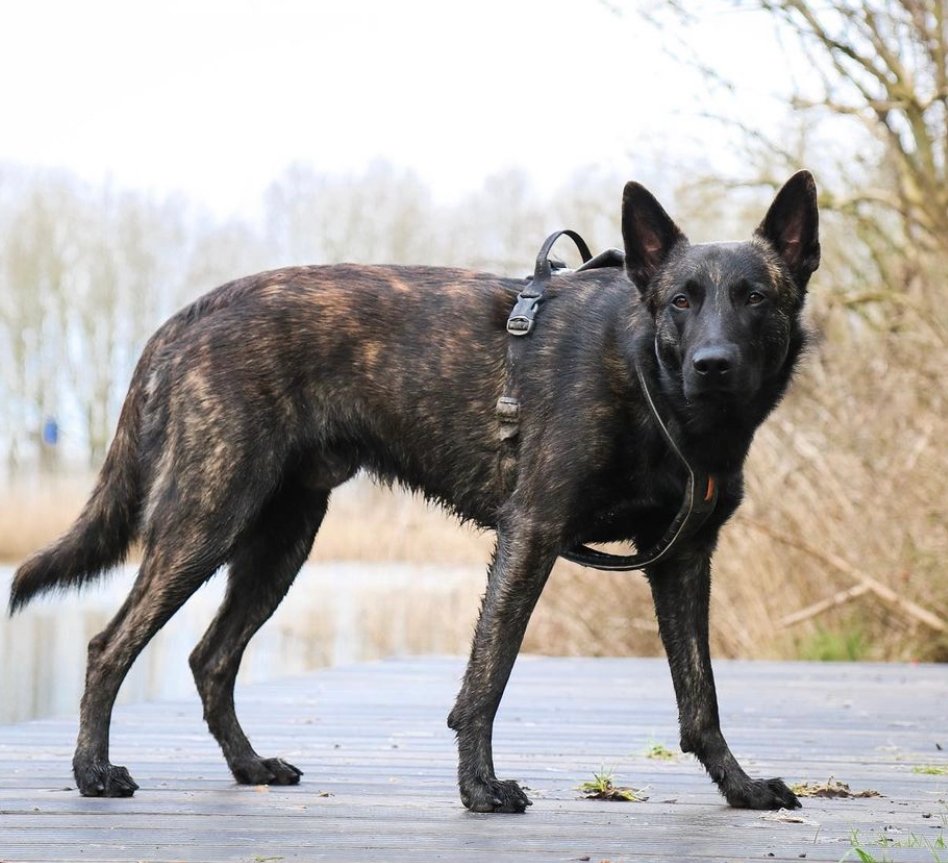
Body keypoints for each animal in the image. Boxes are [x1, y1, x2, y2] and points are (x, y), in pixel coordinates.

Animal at [11, 170, 820, 808]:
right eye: (682, 299)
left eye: (754, 297)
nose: (713, 364)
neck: (649, 377)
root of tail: (188, 316)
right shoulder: (531, 534)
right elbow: (487, 678)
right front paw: (480, 788)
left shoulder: (681, 561)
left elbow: (701, 698)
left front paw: (740, 787)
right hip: (205, 521)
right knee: (109, 645)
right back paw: (92, 772)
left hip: (279, 542)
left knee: (210, 657)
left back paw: (249, 766)